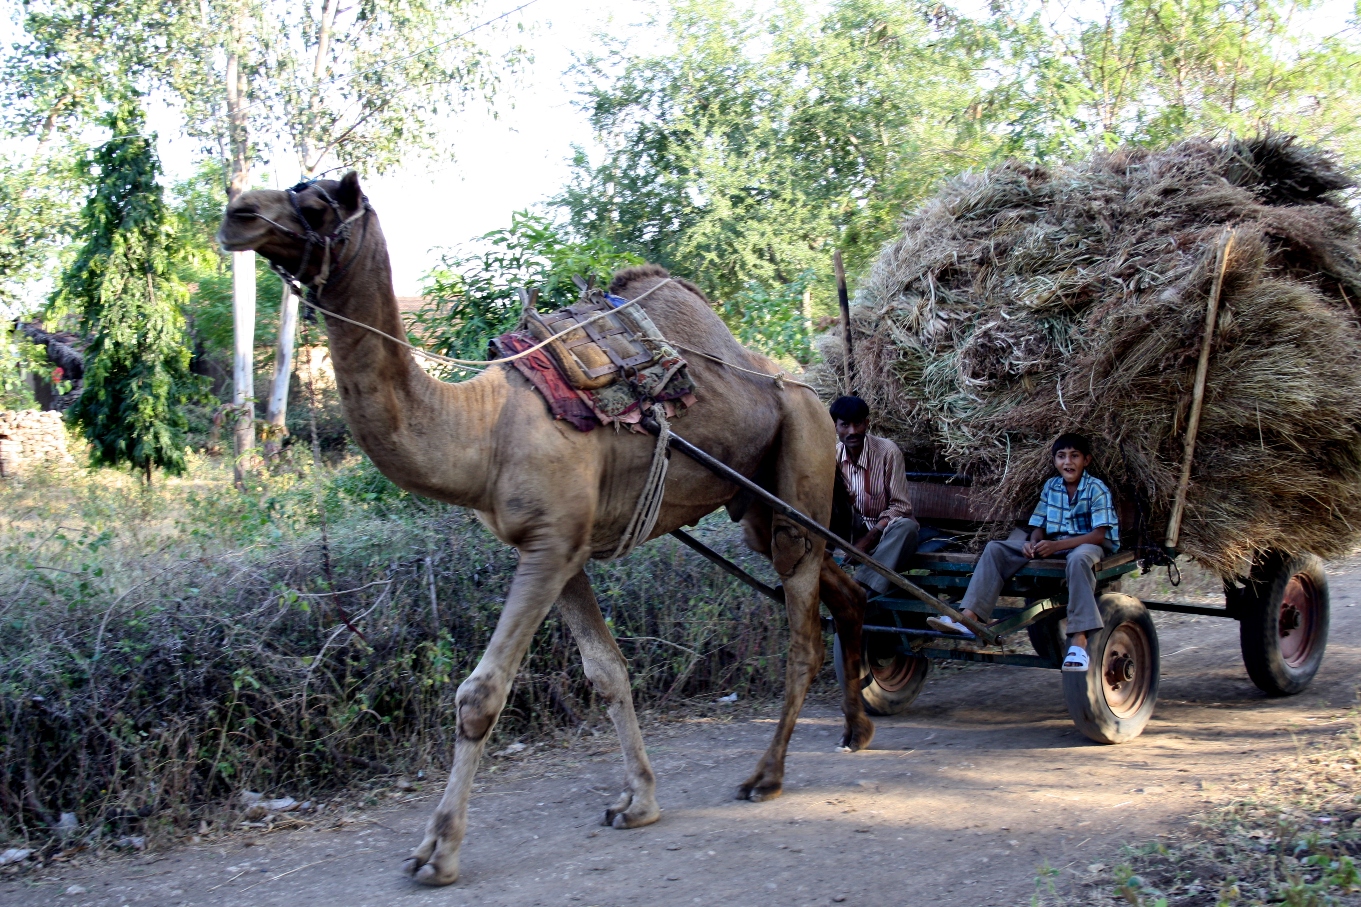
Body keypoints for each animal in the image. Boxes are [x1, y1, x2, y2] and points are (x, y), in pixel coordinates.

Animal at [215, 172, 871, 887]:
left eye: (315, 203)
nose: (236, 213)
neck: (483, 427)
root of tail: (807, 388)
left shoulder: (551, 545)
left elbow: (480, 694)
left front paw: (438, 851)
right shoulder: (560, 548)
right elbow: (607, 671)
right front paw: (639, 802)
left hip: (802, 462)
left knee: (803, 635)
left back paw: (766, 775)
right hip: (757, 504)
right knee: (847, 589)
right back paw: (857, 728)